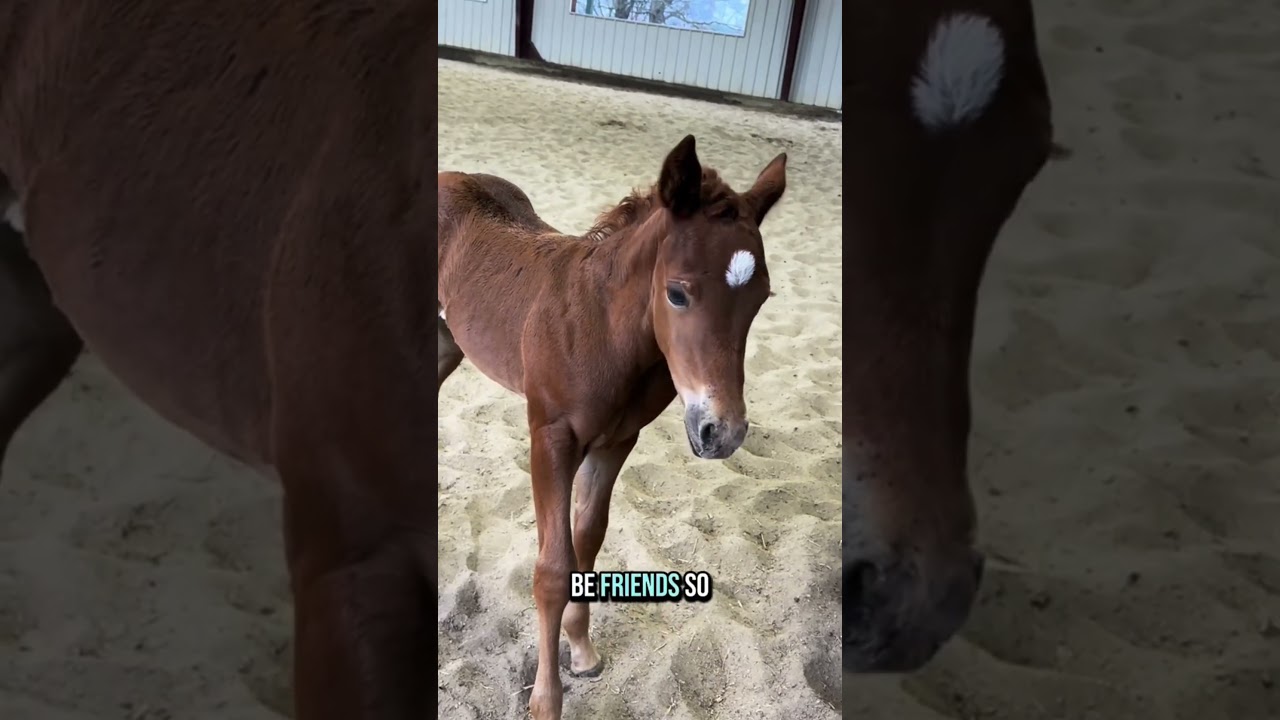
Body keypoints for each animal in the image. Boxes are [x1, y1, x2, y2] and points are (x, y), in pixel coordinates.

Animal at [437, 135, 787, 720]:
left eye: (761, 298)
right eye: (676, 293)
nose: (723, 431)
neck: (603, 329)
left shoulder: (617, 441)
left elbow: (588, 540)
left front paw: (582, 651)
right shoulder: (550, 437)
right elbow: (553, 568)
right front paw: (545, 701)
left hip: (447, 345)